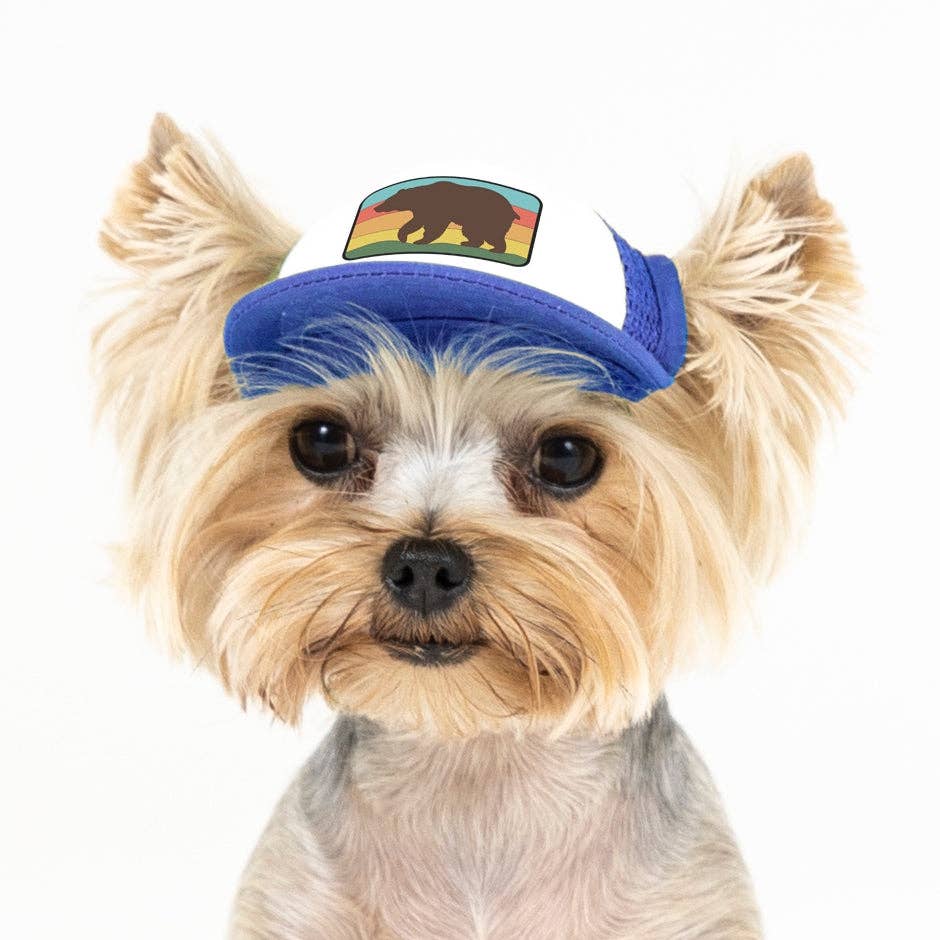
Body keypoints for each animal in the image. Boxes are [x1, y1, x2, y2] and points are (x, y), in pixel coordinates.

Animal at [373, 180, 521, 255]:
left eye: (388, 201)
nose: (376, 208)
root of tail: (512, 211)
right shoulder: (423, 211)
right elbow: (417, 222)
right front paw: (405, 237)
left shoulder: (439, 209)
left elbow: (434, 225)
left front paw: (418, 240)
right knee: (472, 232)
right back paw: (468, 243)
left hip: (490, 218)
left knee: (492, 234)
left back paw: (496, 249)